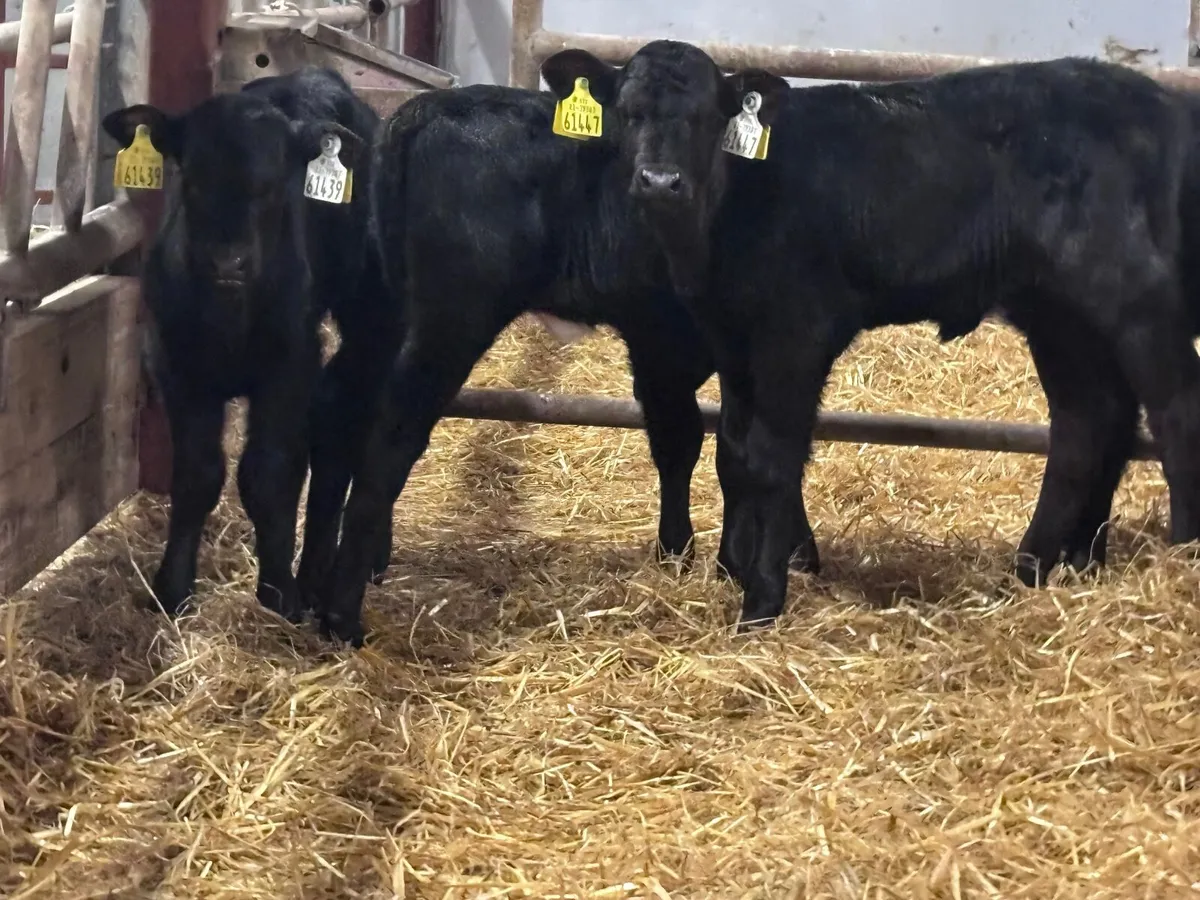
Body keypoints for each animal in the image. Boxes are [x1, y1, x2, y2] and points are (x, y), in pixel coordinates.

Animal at [101, 66, 401, 622]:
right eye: (192, 179)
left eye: (272, 186)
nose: (228, 261)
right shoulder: (175, 365)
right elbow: (197, 475)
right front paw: (171, 588)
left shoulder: (289, 366)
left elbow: (268, 474)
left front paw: (279, 592)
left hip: (374, 318)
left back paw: (356, 562)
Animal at [307, 40, 791, 645]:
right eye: (626, 114)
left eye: (707, 116)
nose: (659, 180)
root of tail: (422, 112)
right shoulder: (654, 336)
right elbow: (678, 442)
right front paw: (677, 552)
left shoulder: (733, 343)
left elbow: (734, 450)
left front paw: (730, 563)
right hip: (451, 318)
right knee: (392, 437)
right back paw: (342, 615)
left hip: (382, 311)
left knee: (342, 408)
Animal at [599, 53, 1196, 628]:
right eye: (628, 114)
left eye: (704, 118)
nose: (660, 180)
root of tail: (1160, 106)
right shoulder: (731, 341)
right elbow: (736, 453)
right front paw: (740, 571)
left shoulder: (796, 334)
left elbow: (771, 460)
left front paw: (763, 599)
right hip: (1059, 314)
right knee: (1089, 422)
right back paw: (1042, 568)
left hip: (1135, 297)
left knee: (1174, 411)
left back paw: (1181, 555)